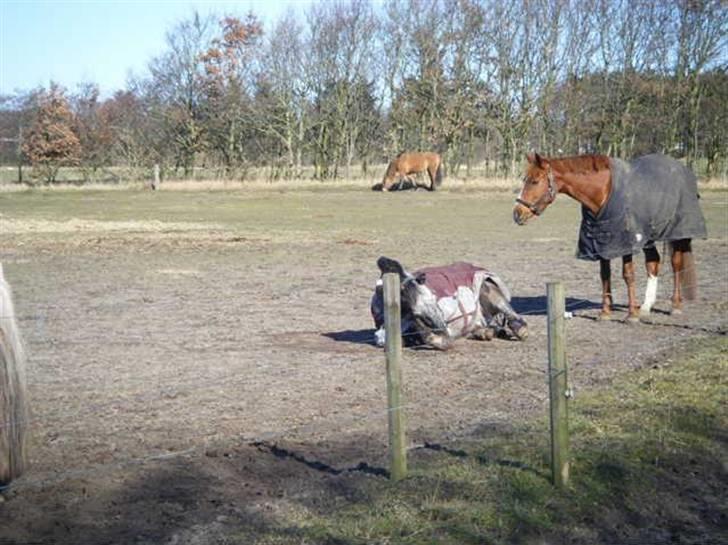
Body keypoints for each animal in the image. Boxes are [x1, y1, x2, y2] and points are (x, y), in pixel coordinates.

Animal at [372, 255, 528, 348]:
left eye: (433, 299)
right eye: (417, 312)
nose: (441, 329)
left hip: (488, 289)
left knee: (512, 316)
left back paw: (518, 329)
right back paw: (485, 332)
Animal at [512, 153, 704, 320]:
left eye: (535, 181)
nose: (517, 214)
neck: (603, 192)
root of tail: (683, 169)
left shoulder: (625, 244)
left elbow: (628, 275)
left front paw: (631, 315)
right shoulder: (601, 243)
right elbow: (605, 275)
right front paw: (605, 313)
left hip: (678, 234)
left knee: (676, 264)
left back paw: (675, 305)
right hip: (648, 238)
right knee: (653, 263)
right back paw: (646, 306)